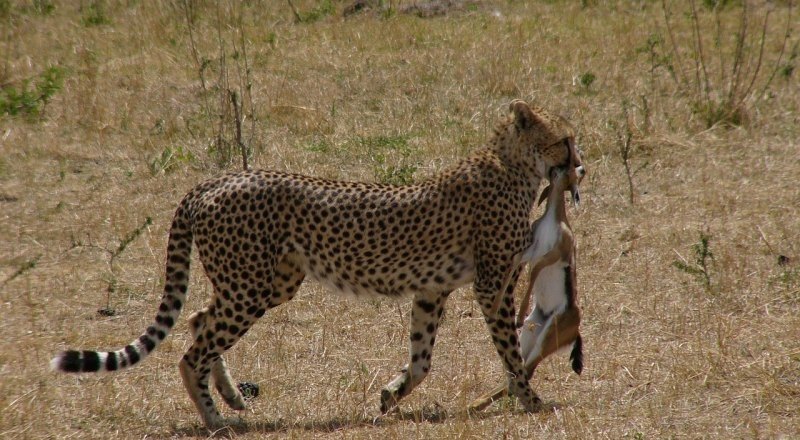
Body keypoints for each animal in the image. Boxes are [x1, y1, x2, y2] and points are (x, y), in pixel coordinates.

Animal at [53, 99, 584, 426]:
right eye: (564, 139)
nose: (579, 166)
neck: (513, 165)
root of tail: (214, 181)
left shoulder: (432, 290)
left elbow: (422, 359)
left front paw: (391, 394)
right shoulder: (492, 286)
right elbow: (510, 352)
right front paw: (531, 400)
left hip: (268, 283)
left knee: (200, 320)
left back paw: (230, 395)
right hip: (250, 286)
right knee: (192, 351)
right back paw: (215, 419)